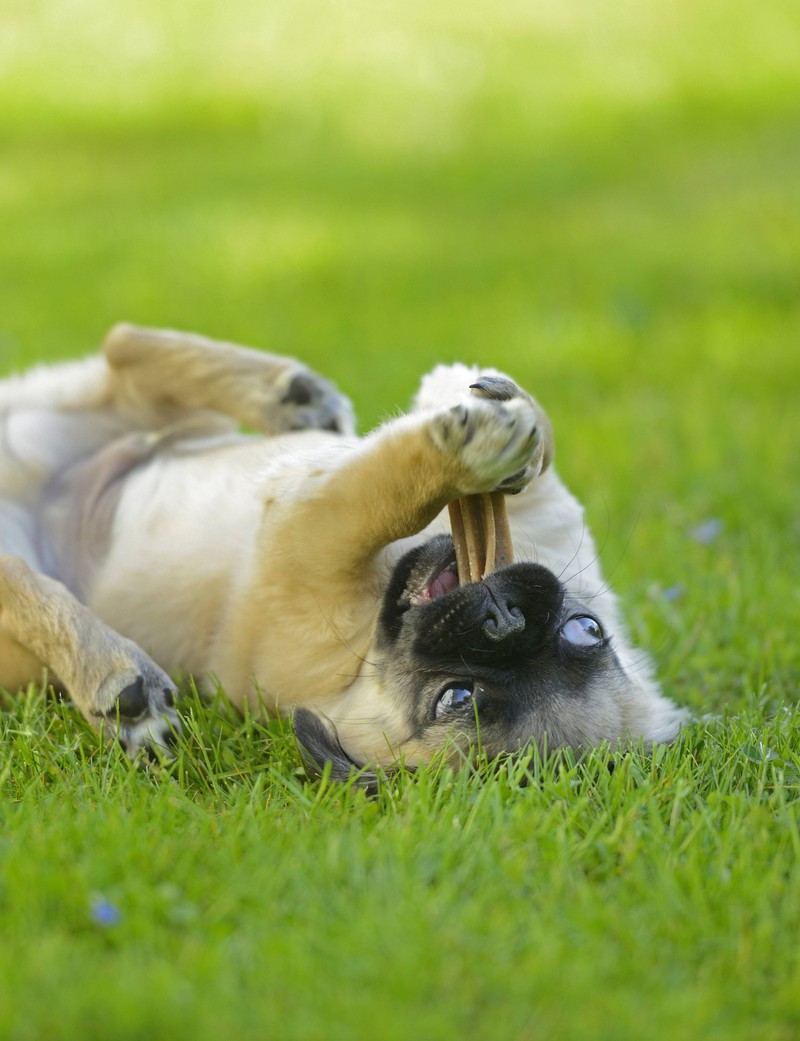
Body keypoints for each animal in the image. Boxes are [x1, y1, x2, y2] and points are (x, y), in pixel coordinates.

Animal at [1, 324, 687, 782]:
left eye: (457, 698)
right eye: (586, 630)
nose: (505, 617)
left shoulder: (305, 536)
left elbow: (379, 492)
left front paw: (466, 445)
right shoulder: (553, 527)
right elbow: (535, 453)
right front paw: (489, 411)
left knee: (17, 578)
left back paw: (118, 676)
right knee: (123, 352)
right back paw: (293, 396)